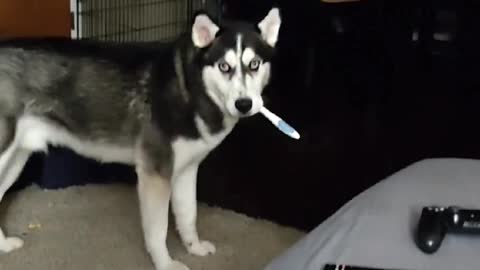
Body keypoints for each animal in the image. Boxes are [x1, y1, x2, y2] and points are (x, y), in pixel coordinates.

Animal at [0, 5, 282, 270]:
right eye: (224, 66)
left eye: (254, 64)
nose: (244, 104)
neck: (189, 88)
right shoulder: (155, 173)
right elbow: (158, 229)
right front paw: (166, 264)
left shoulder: (186, 170)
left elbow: (188, 214)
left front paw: (194, 247)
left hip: (16, 158)